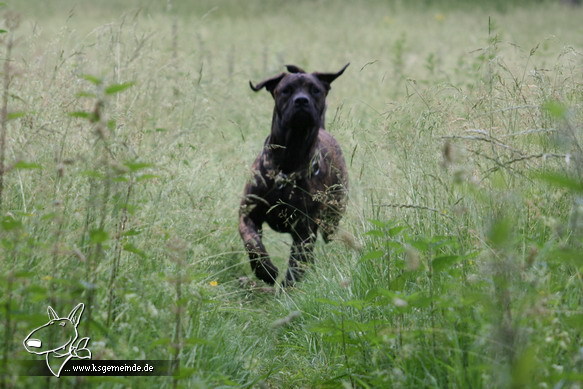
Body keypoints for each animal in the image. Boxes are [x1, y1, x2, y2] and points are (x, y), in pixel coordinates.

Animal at [238, 64, 350, 284]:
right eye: (286, 90)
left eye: (315, 90)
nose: (301, 100)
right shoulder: (247, 213)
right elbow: (252, 243)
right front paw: (265, 270)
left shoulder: (304, 229)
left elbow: (296, 263)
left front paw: (289, 287)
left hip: (331, 219)